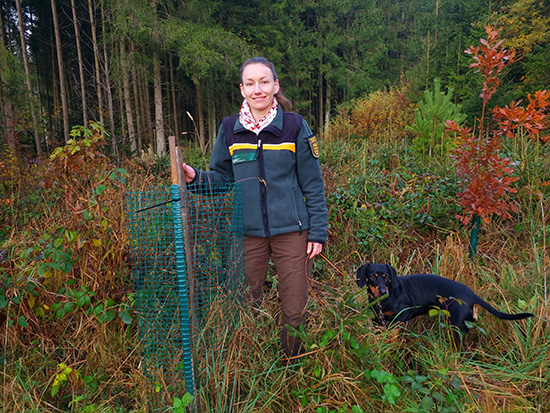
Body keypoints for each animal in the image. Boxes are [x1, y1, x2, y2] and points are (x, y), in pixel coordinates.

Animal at [358, 262, 536, 342]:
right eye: (373, 276)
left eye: (387, 277)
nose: (383, 292)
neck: (382, 301)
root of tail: (471, 294)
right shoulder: (377, 321)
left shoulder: (404, 313)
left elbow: (393, 331)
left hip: (457, 325)